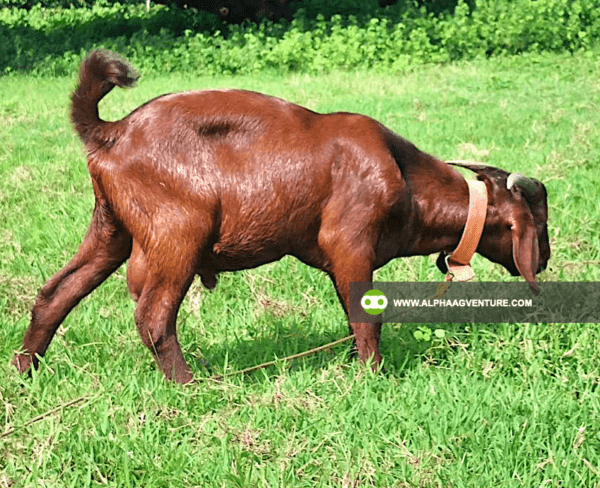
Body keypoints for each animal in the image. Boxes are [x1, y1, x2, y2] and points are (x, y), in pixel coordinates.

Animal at [11, 51, 552, 384]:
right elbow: (366, 315)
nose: (544, 260)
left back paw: (24, 371)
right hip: (177, 233)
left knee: (56, 294)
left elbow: (352, 314)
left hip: (111, 228)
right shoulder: (351, 242)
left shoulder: (339, 260)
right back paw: (189, 384)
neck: (401, 173)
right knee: (153, 315)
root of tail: (111, 131)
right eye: (539, 225)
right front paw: (372, 375)